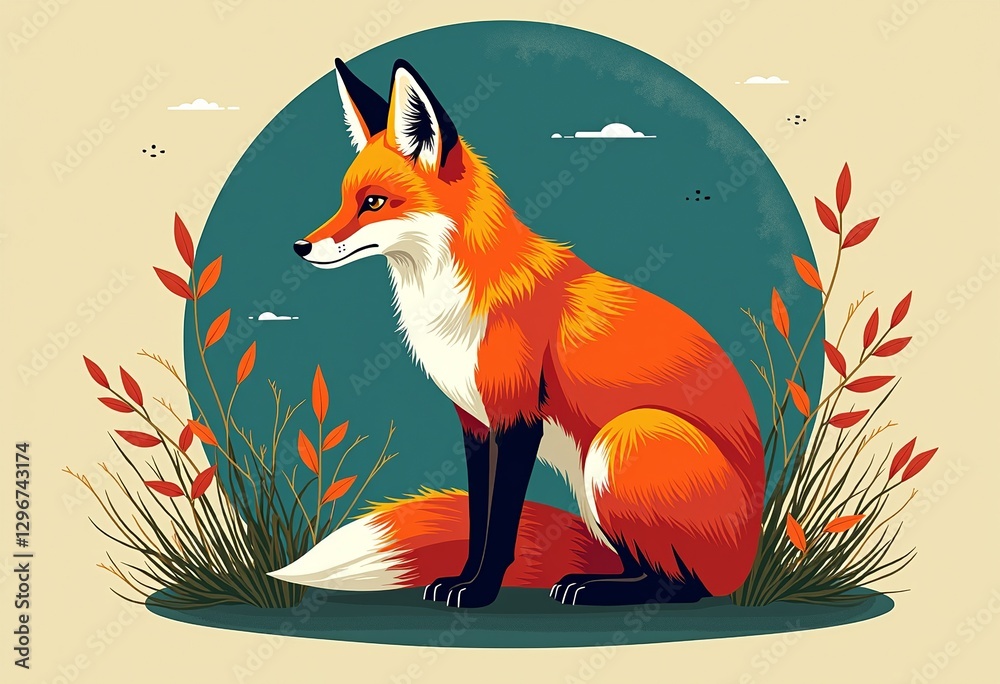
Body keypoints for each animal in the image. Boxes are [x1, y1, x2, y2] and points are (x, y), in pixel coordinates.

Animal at [271, 58, 765, 608]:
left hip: (622, 442)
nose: (300, 246)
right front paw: (461, 581)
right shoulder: (475, 422)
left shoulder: (517, 417)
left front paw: (480, 591)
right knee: (648, 568)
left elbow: (501, 525)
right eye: (342, 200)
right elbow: (478, 521)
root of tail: (746, 563)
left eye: (374, 202)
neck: (456, 299)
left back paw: (598, 590)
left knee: (682, 586)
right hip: (595, 489)